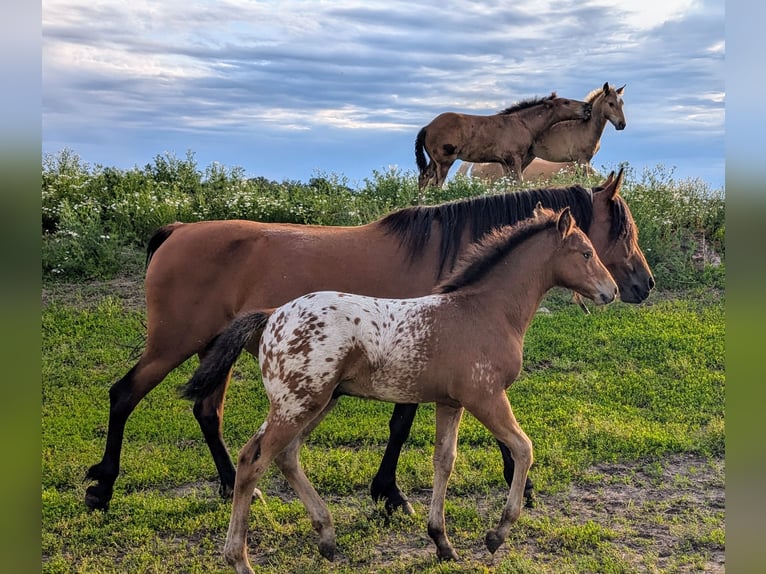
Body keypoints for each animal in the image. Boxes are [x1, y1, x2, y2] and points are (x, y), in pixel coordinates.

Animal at [182, 206, 624, 572]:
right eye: (586, 252)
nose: (613, 291)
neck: (484, 311)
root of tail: (273, 315)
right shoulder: (485, 397)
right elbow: (523, 448)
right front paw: (496, 534)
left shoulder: (451, 402)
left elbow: (444, 461)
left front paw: (442, 542)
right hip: (297, 404)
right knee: (253, 461)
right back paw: (239, 559)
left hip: (311, 403)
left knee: (283, 456)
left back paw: (326, 537)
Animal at [416, 92, 592, 190]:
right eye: (566, 102)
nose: (587, 107)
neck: (522, 123)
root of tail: (428, 127)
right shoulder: (514, 158)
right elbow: (518, 182)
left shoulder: (505, 162)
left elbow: (510, 183)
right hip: (444, 162)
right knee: (436, 183)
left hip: (434, 161)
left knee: (424, 178)